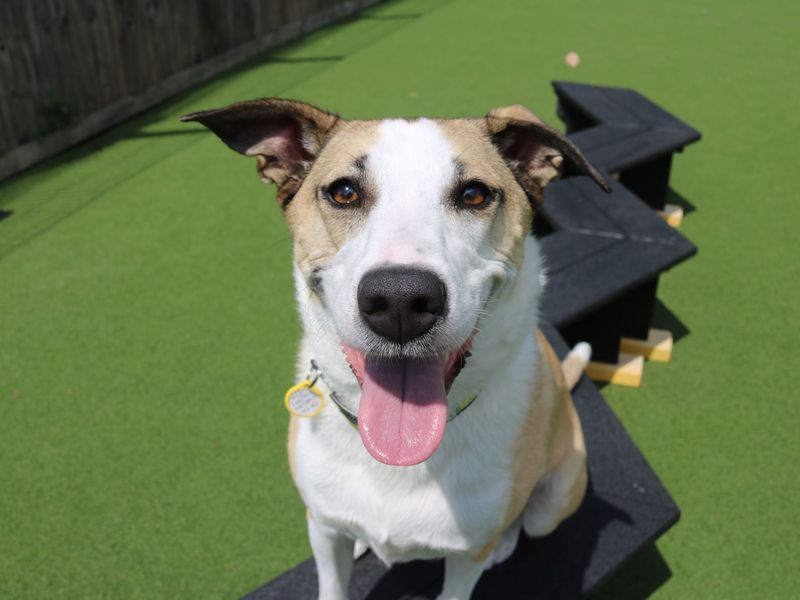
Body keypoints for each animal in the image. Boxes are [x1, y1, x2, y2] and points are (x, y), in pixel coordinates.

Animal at [181, 99, 608, 600]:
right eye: (344, 192)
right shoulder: (320, 526)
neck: (398, 456)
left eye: (474, 195)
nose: (401, 301)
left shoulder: (466, 557)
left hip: (554, 498)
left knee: (524, 522)